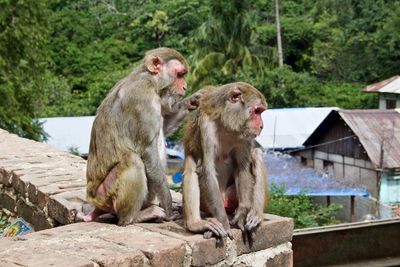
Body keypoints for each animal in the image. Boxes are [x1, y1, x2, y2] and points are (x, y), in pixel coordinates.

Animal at [84, 47, 200, 226]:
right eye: (180, 74)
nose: (185, 87)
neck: (149, 79)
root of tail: (93, 199)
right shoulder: (144, 100)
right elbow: (147, 150)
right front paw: (168, 206)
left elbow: (163, 127)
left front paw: (190, 102)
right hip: (105, 194)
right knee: (134, 160)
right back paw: (135, 216)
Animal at [183, 81, 268, 239]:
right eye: (257, 111)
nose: (261, 126)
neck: (226, 125)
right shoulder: (206, 126)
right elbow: (207, 170)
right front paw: (223, 223)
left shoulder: (245, 135)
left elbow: (242, 167)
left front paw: (242, 214)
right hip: (208, 202)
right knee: (191, 166)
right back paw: (196, 224)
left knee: (257, 154)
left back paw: (256, 214)